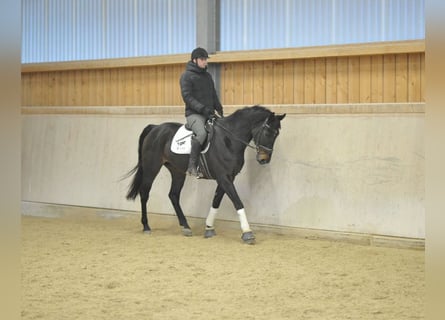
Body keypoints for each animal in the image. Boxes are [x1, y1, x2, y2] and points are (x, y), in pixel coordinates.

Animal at [125, 105, 284, 242]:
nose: (264, 159)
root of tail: (155, 128)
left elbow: (216, 201)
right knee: (144, 193)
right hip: (151, 168)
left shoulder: (227, 178)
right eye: (268, 132)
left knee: (173, 195)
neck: (229, 140)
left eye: (277, 134)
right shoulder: (224, 178)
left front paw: (209, 228)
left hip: (177, 171)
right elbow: (237, 202)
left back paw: (186, 227)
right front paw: (247, 233)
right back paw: (146, 226)